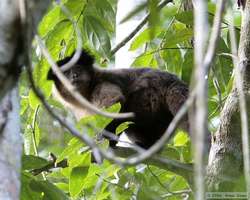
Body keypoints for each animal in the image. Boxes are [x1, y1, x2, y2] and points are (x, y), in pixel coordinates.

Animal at [47, 50, 188, 149]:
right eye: (66, 73)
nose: (74, 76)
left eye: (77, 69)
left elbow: (115, 102)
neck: (87, 93)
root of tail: (172, 82)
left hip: (150, 97)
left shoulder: (101, 84)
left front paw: (105, 141)